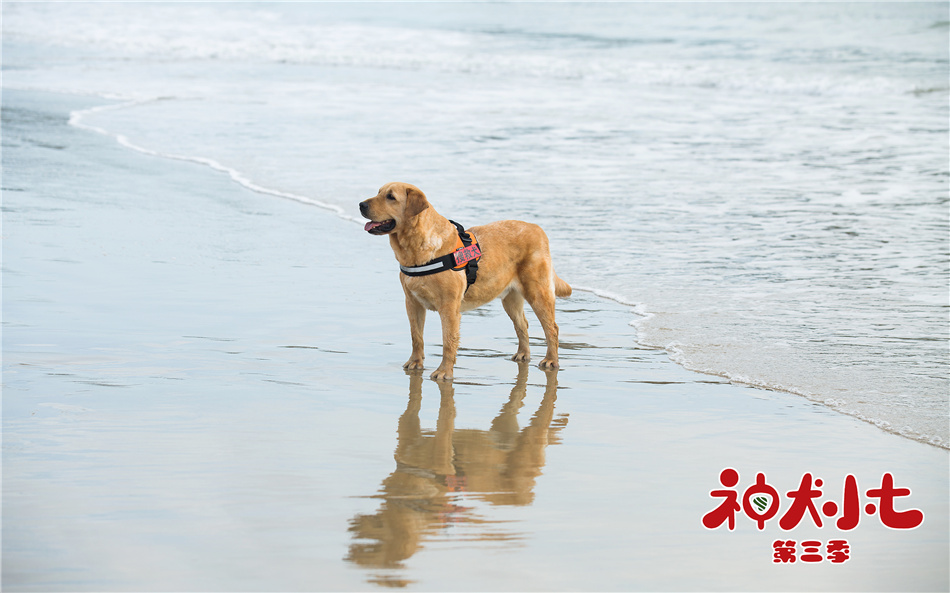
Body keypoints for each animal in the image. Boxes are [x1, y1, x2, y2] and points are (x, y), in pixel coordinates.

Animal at [358, 180, 572, 382]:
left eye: (391, 197)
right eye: (378, 192)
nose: (360, 204)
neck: (416, 250)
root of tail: (538, 228)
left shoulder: (449, 308)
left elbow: (448, 341)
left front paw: (444, 372)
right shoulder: (412, 303)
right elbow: (416, 336)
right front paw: (415, 363)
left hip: (538, 293)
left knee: (552, 328)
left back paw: (551, 360)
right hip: (510, 299)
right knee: (522, 325)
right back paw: (523, 354)